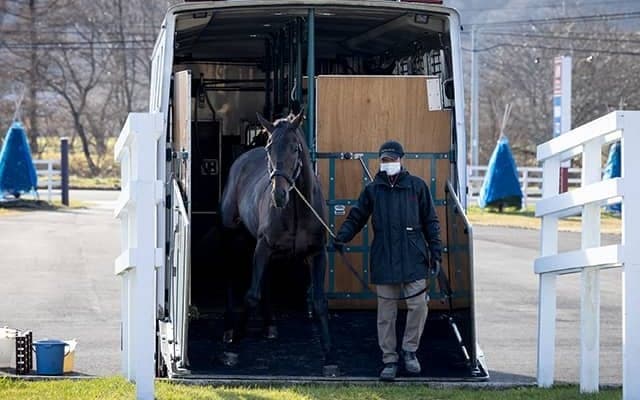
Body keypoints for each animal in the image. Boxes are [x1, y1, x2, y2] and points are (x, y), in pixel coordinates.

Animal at [220, 110, 337, 375]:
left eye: (295, 148)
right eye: (269, 148)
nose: (279, 195)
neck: (297, 210)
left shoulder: (317, 253)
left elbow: (320, 302)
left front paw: (329, 358)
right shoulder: (263, 247)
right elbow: (251, 295)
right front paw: (233, 350)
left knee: (266, 281)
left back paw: (270, 325)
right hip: (235, 238)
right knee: (231, 278)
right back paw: (230, 330)